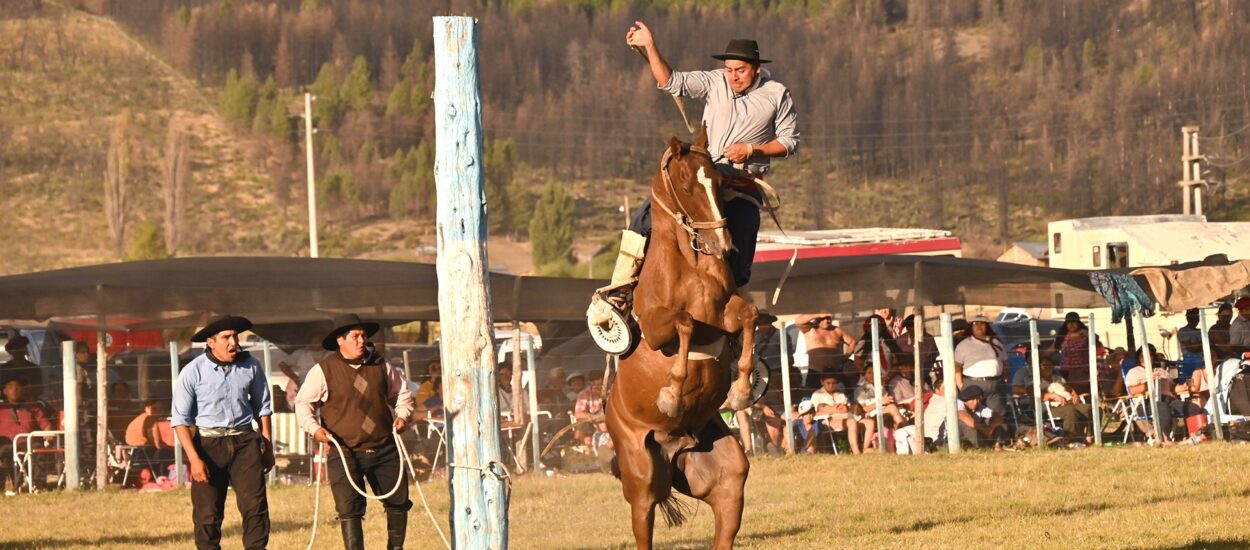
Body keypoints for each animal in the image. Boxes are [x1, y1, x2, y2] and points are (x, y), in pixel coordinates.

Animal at [602, 126, 755, 550]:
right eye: (687, 186)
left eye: (718, 181)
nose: (723, 244)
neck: (689, 263)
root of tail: (676, 446)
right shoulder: (657, 329)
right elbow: (685, 323)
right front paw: (671, 394)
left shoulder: (725, 313)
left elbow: (749, 316)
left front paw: (742, 390)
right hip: (642, 479)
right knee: (644, 519)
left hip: (723, 473)